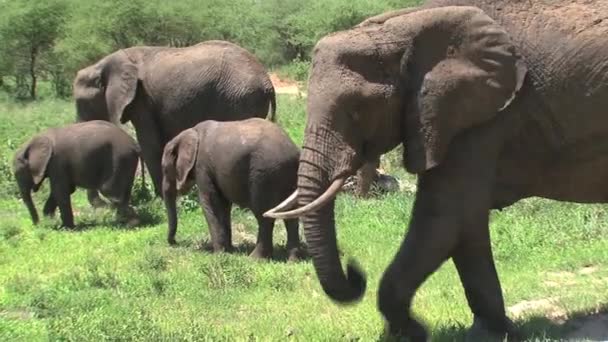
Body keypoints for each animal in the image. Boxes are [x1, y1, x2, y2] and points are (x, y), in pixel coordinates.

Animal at [72, 39, 276, 202]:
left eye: (81, 103)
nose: (100, 206)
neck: (101, 65)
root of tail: (268, 82)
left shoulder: (141, 99)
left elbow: (149, 144)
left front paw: (161, 198)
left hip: (240, 99)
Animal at [162, 118, 302, 262]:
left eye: (164, 169)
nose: (174, 242)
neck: (190, 132)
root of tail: (294, 150)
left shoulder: (202, 166)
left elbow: (211, 202)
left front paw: (219, 255)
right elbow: (223, 206)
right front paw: (229, 251)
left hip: (264, 174)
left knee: (263, 215)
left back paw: (255, 259)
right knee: (290, 215)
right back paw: (293, 260)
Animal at [264, 1, 608, 340]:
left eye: (357, 110)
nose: (355, 272)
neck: (404, 29)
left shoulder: (479, 117)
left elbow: (444, 220)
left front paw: (414, 331)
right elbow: (464, 226)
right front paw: (493, 331)